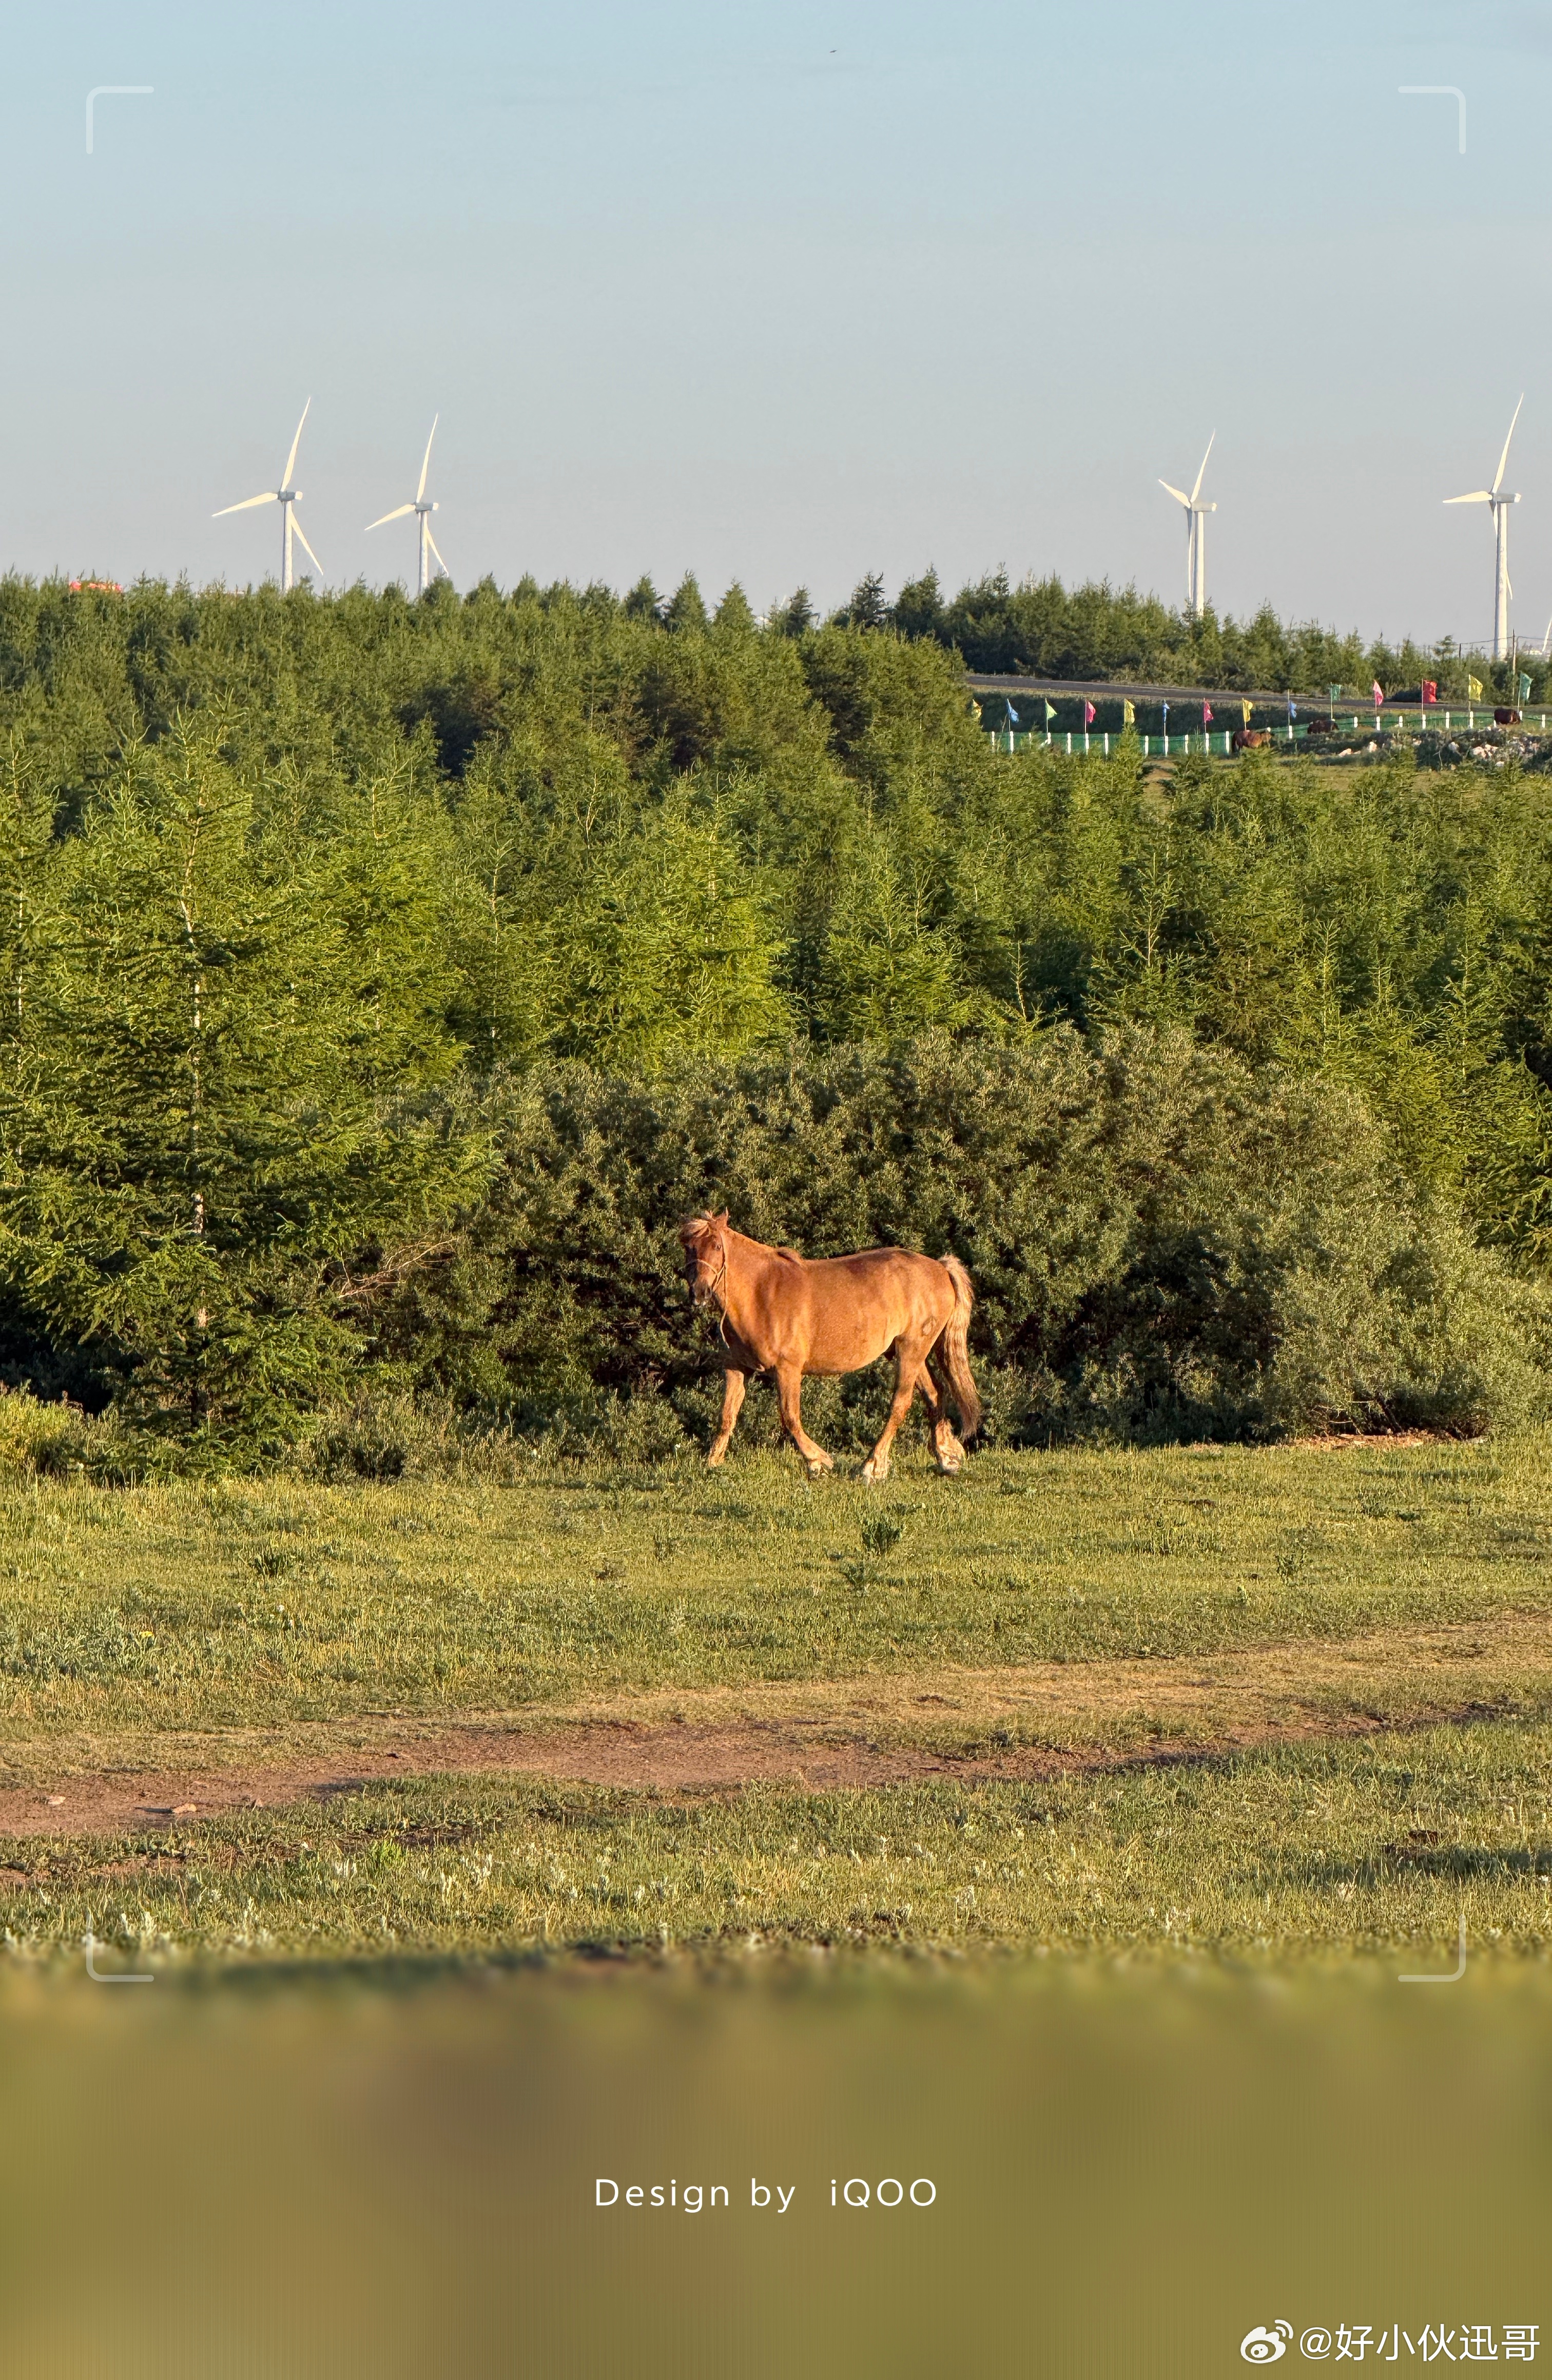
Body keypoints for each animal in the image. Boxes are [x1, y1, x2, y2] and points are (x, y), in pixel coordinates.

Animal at [678, 1212, 982, 1484]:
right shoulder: (736, 1368)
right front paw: (712, 1462)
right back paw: (947, 1457)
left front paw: (818, 1462)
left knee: (901, 1403)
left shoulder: (788, 1369)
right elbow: (727, 1415)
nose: (699, 1293)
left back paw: (872, 1467)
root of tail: (941, 1268)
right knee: (934, 1395)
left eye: (717, 1246)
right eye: (689, 1247)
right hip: (908, 1352)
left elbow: (790, 1416)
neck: (760, 1292)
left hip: (912, 1348)